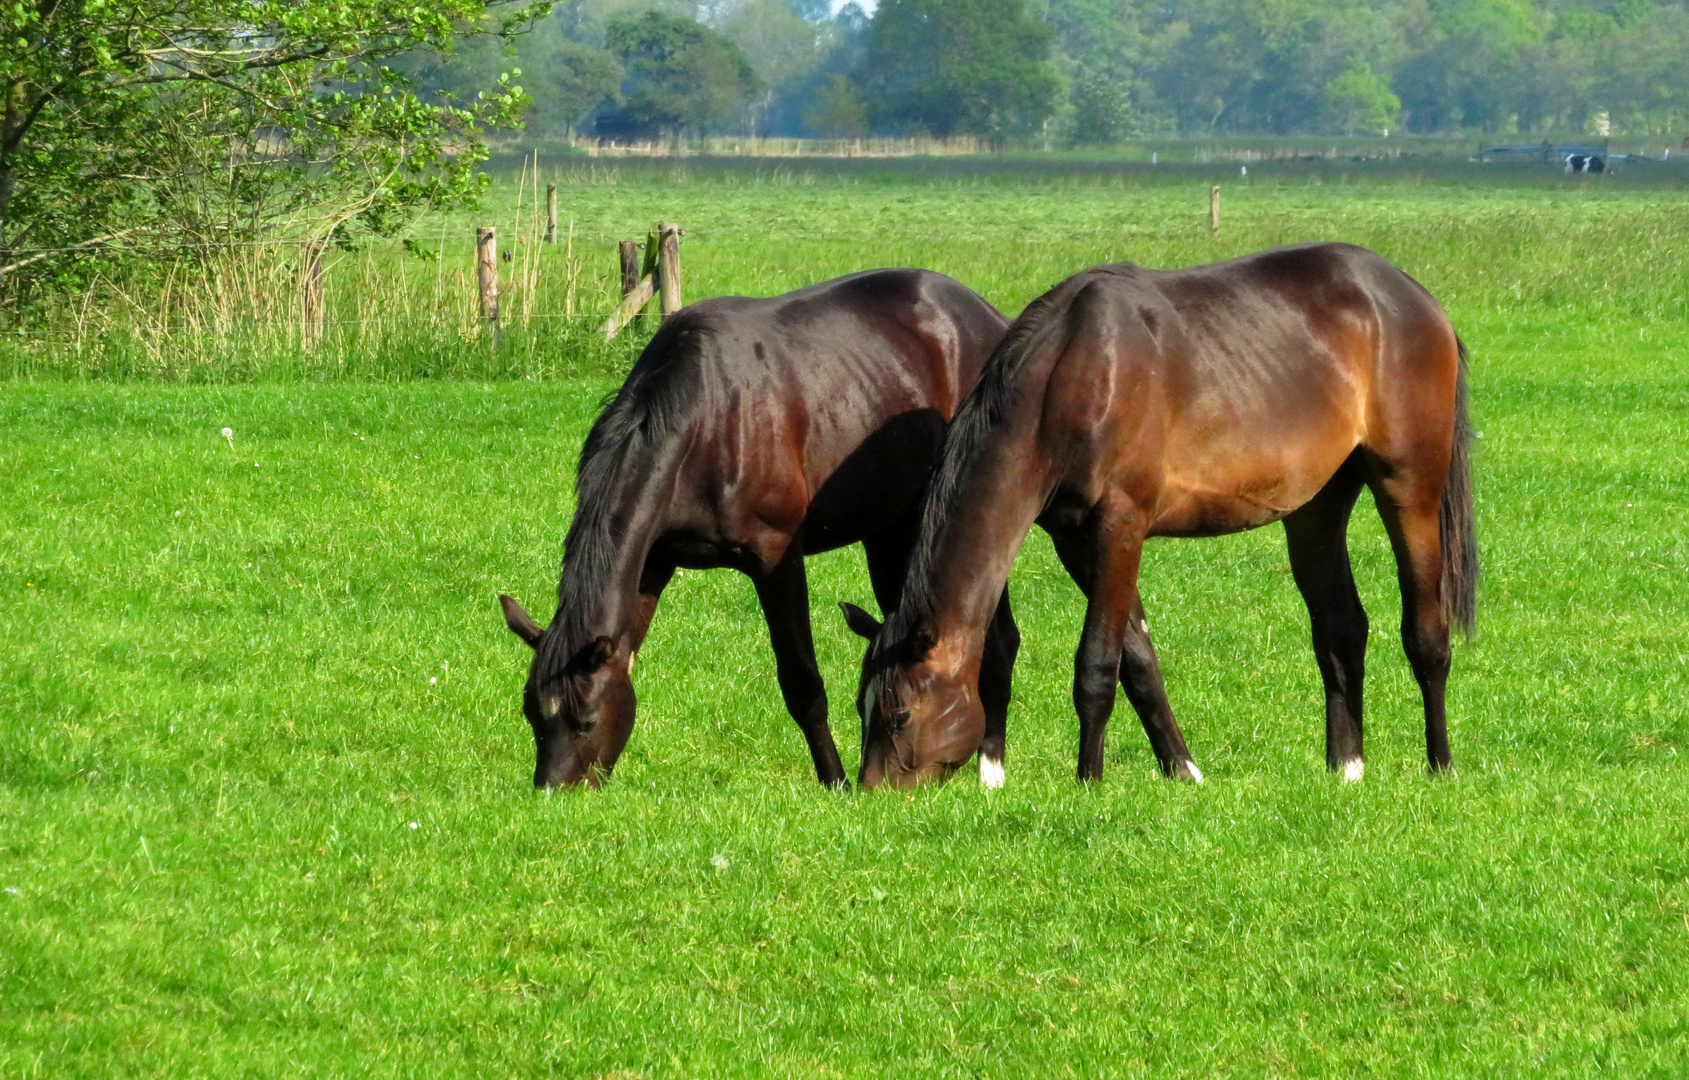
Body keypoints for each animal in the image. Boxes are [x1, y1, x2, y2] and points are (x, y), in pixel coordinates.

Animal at [489, 270, 1013, 790]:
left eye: (587, 720)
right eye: (532, 715)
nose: (552, 791)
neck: (705, 420)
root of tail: (988, 314)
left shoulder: (776, 559)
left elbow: (801, 683)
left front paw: (835, 781)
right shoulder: (653, 561)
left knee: (1001, 640)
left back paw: (990, 769)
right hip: (890, 527)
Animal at [844, 243, 1479, 784]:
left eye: (899, 715)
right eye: (859, 707)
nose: (873, 792)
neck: (1071, 373)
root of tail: (1413, 295)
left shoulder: (1121, 526)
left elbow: (1098, 663)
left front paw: (1089, 780)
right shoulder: (1076, 539)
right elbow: (1139, 661)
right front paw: (1182, 769)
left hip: (1409, 489)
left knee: (1426, 631)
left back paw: (1440, 763)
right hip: (1315, 507)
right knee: (1340, 628)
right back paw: (1346, 767)